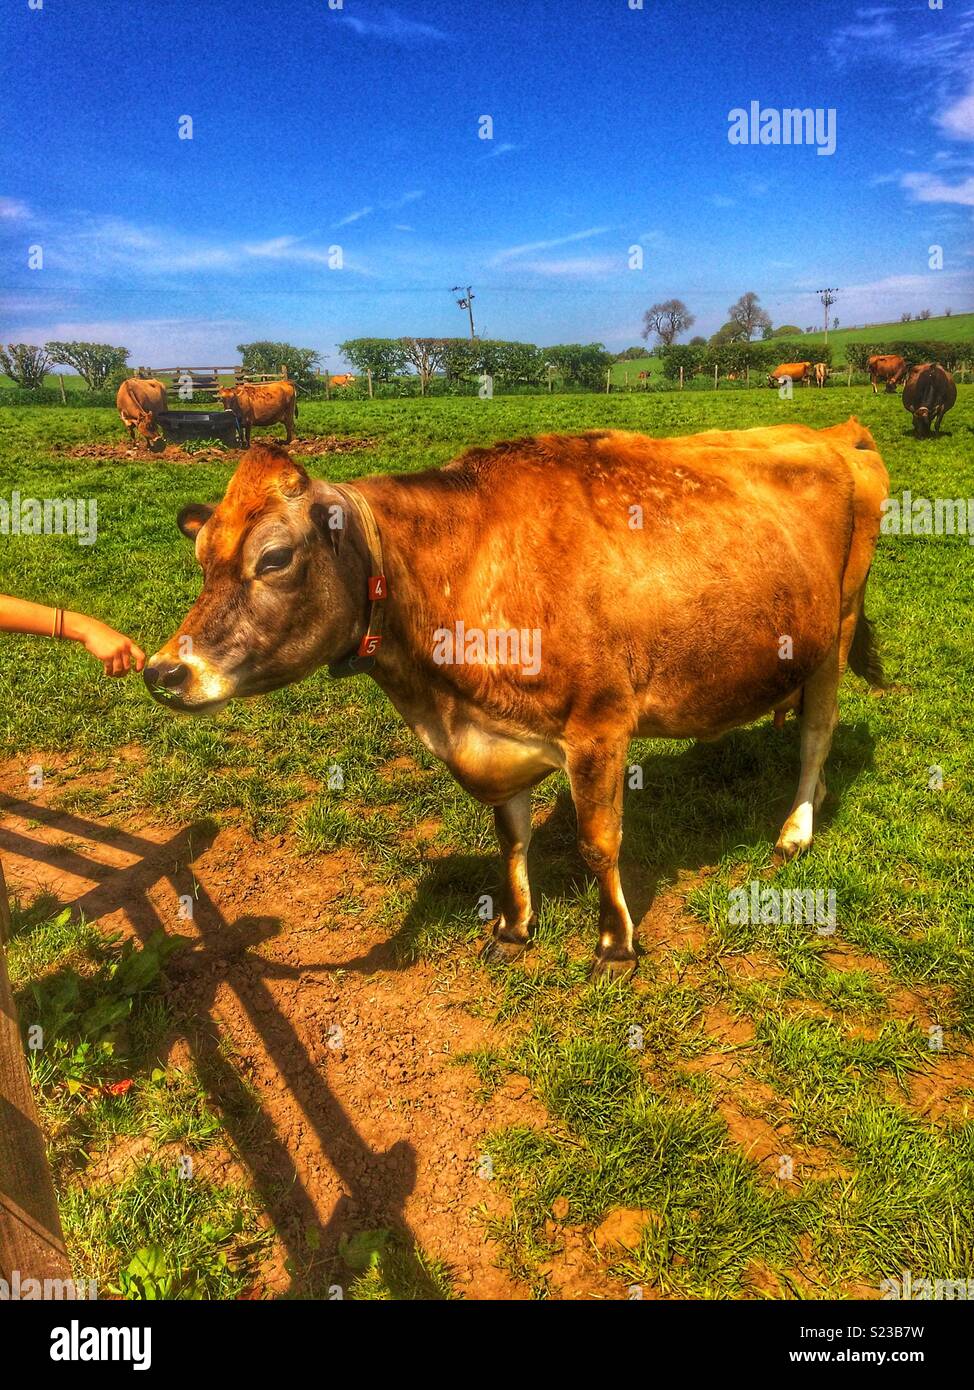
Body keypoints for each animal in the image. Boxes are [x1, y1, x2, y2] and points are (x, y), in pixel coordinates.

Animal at [144, 419, 889, 982]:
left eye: (273, 559)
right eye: (200, 557)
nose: (163, 672)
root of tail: (830, 431)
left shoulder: (598, 726)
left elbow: (598, 843)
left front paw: (615, 944)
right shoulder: (494, 738)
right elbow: (511, 837)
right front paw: (514, 924)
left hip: (837, 626)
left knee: (817, 734)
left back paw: (796, 827)